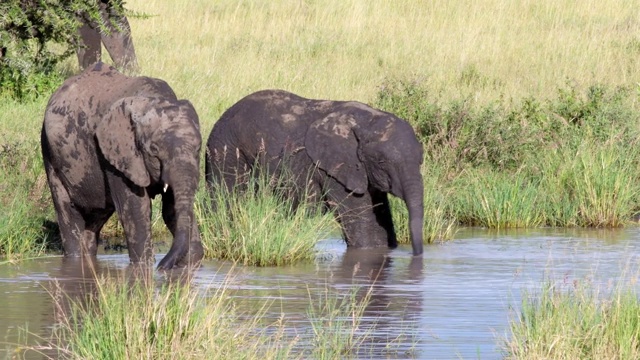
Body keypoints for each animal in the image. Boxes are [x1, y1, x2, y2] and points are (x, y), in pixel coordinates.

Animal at [40, 62, 202, 270]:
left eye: (198, 148)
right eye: (154, 150)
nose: (162, 266)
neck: (152, 100)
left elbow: (171, 209)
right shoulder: (116, 154)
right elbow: (135, 208)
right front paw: (145, 266)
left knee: (94, 220)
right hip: (49, 151)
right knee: (68, 212)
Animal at [206, 89, 424, 256]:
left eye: (421, 159)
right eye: (381, 162)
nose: (416, 255)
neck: (367, 120)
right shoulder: (334, 170)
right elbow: (367, 231)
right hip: (225, 149)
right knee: (228, 200)